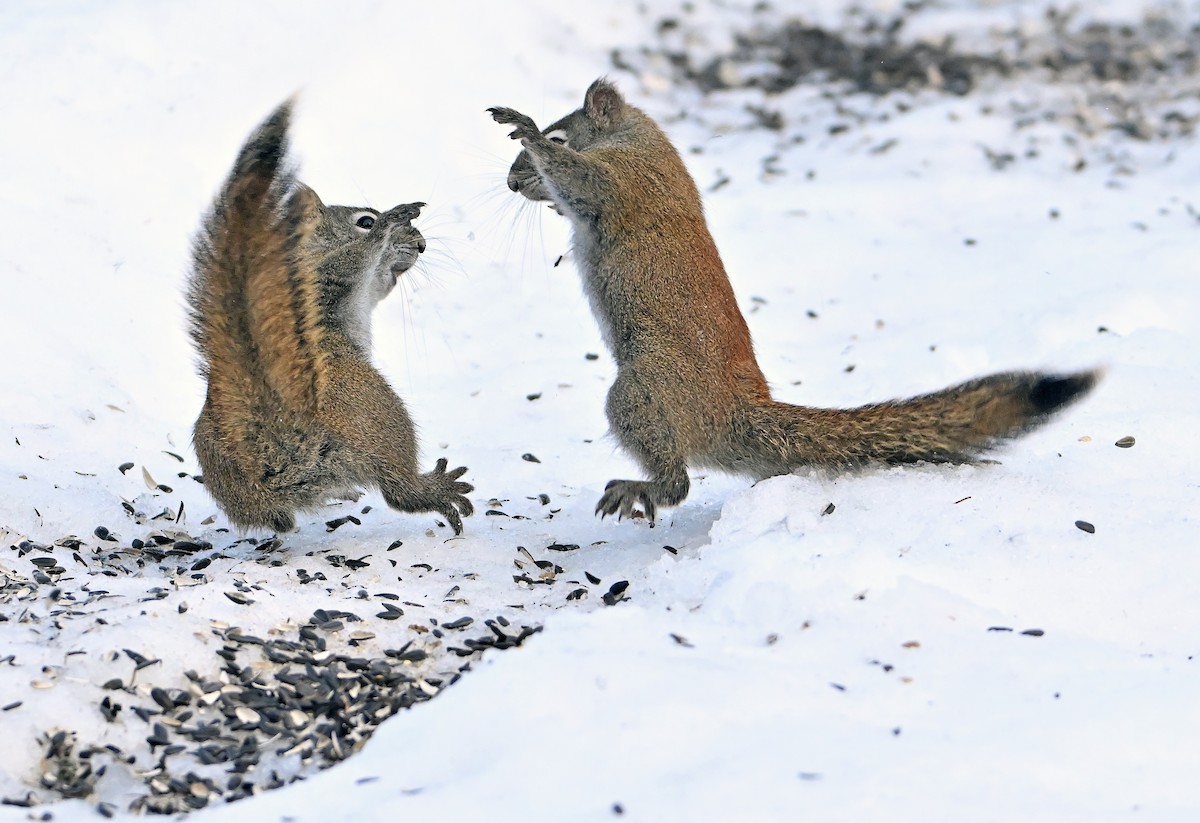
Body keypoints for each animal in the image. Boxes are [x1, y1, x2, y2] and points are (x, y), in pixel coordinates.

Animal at [188, 100, 474, 534]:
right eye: (364, 221)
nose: (421, 244)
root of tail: (279, 435)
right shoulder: (324, 274)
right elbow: (355, 258)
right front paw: (388, 229)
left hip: (239, 490)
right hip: (374, 412)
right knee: (398, 490)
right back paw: (433, 489)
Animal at [489, 79, 1099, 522]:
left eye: (562, 136)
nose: (513, 183)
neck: (638, 138)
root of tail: (740, 412)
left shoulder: (623, 180)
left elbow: (579, 180)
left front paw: (524, 132)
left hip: (644, 392)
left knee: (678, 480)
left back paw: (645, 488)